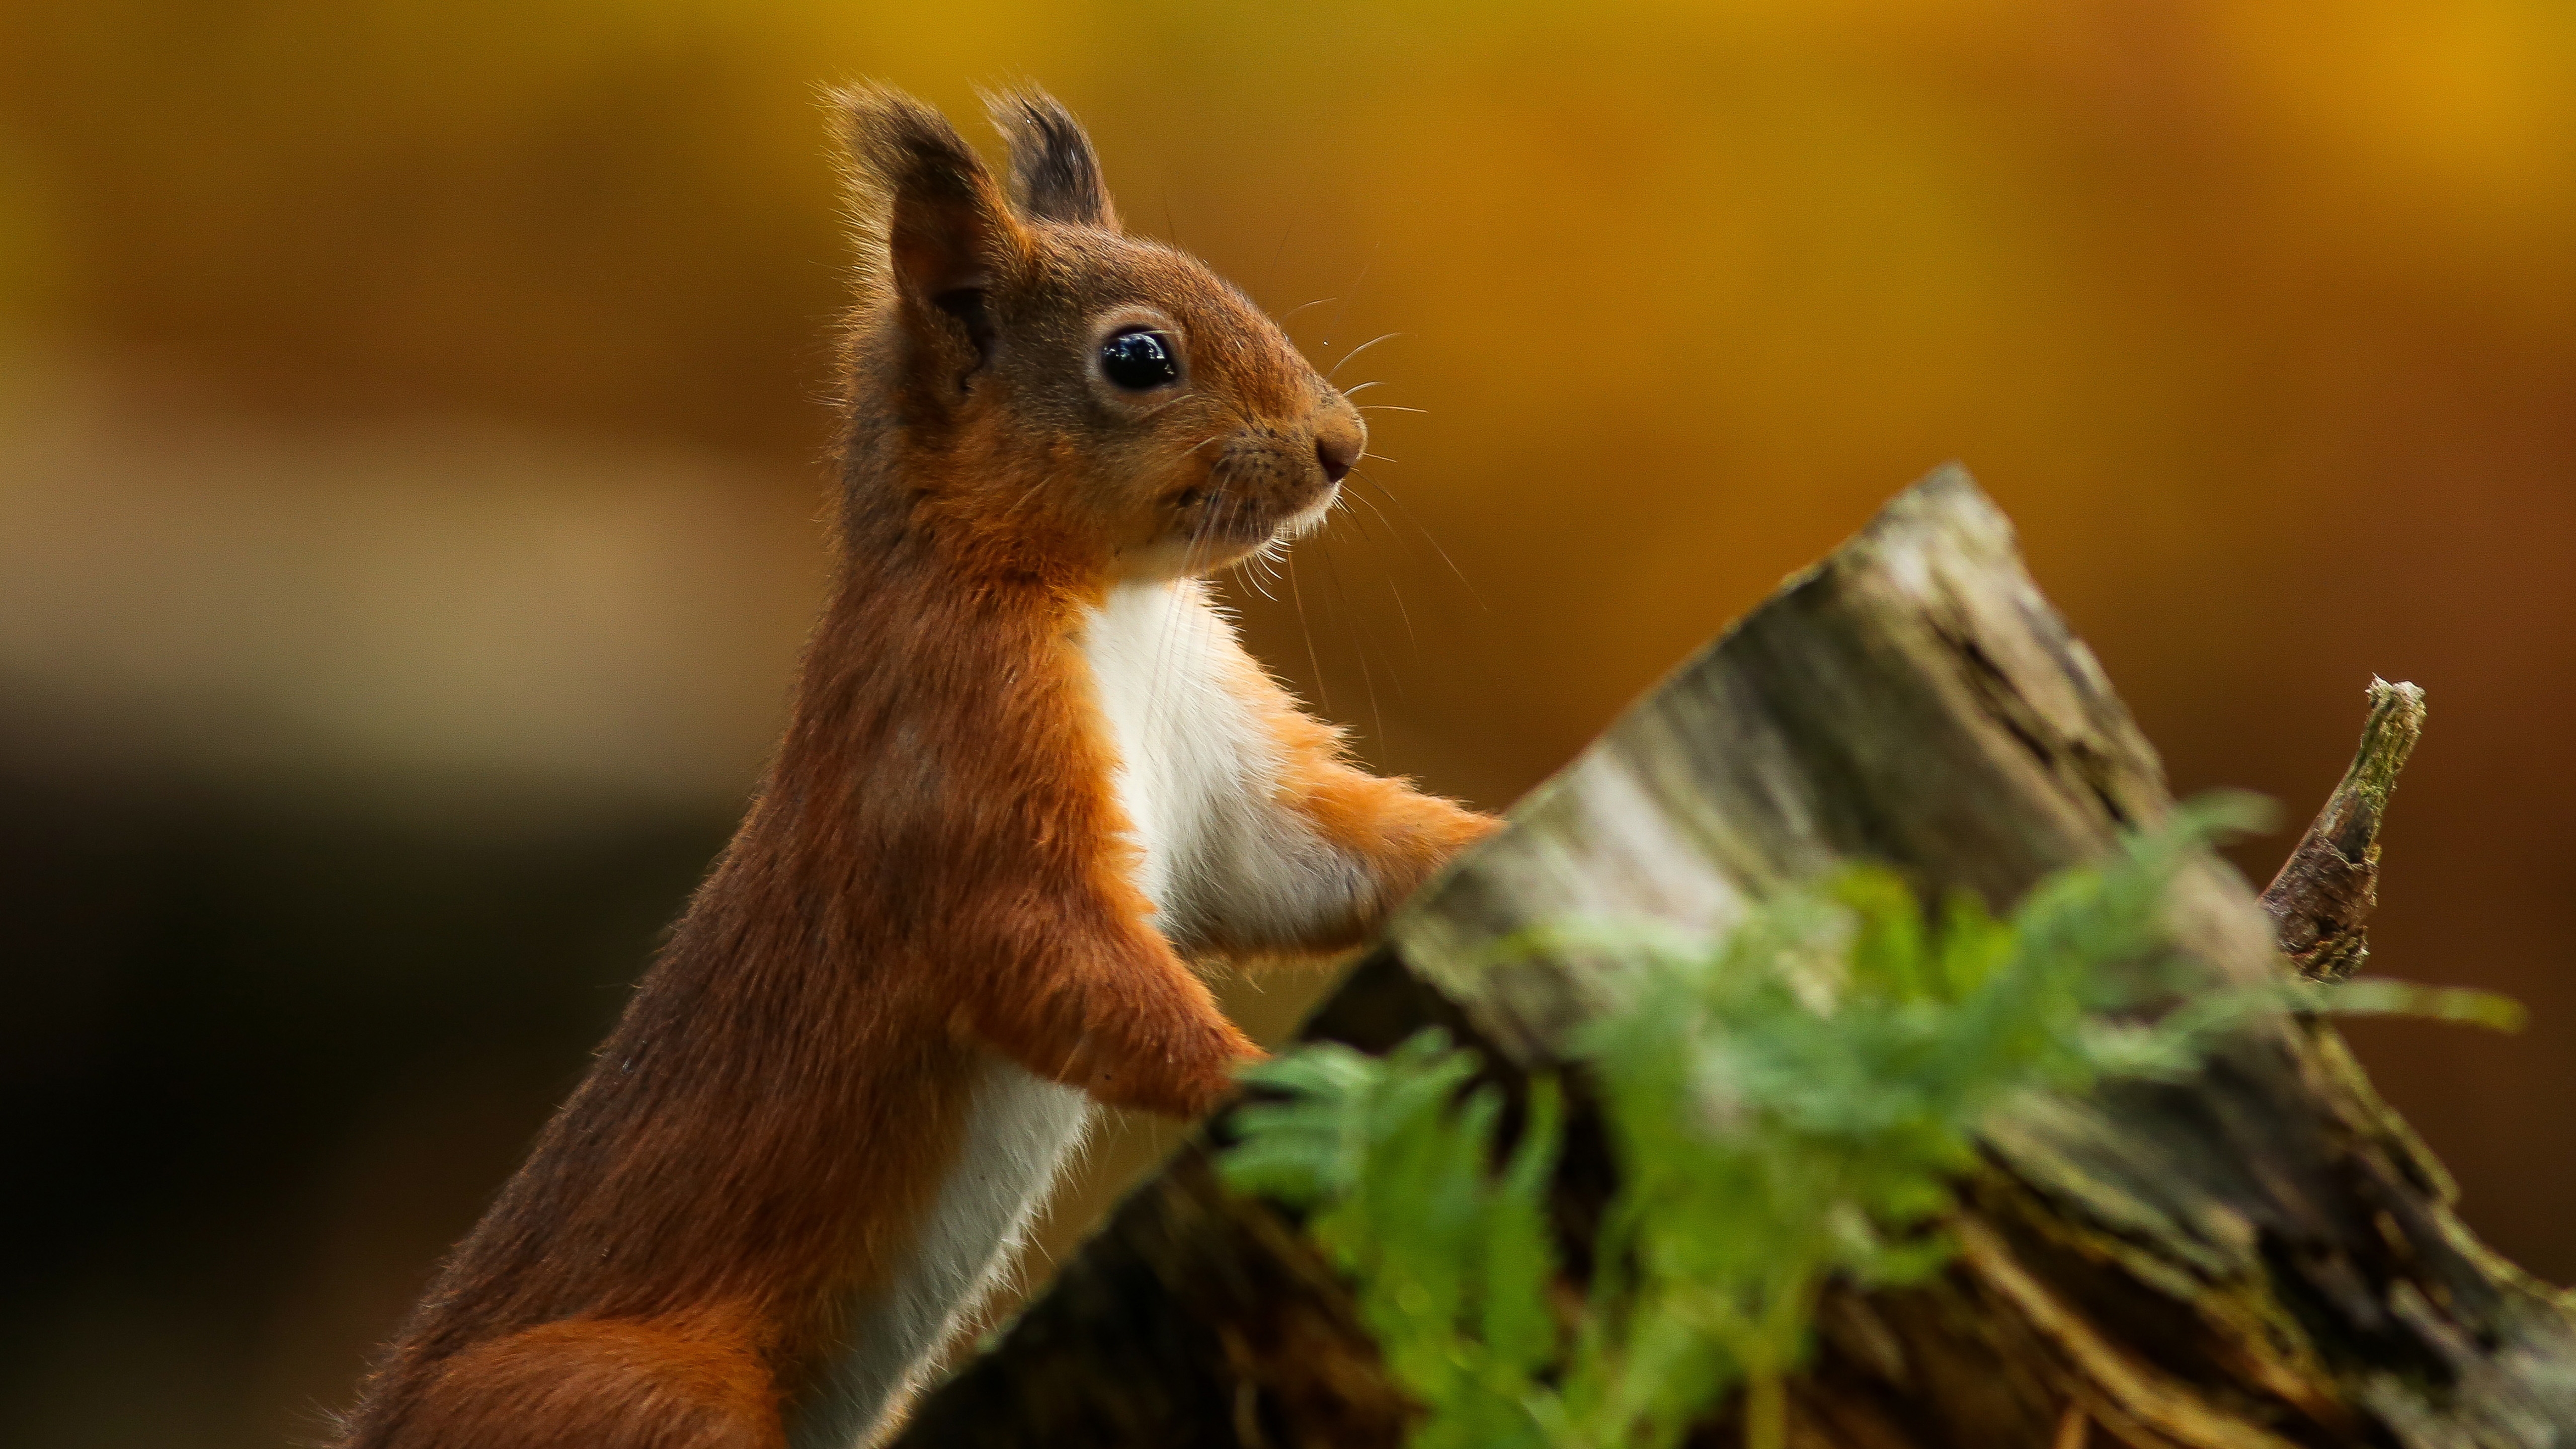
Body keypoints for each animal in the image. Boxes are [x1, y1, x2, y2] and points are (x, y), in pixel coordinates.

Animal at [337, 90, 1504, 1443]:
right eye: (1138, 359)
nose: (1341, 443)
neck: (1111, 604)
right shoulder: (953, 755)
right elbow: (1043, 946)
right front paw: (1266, 1083)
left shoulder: (1229, 780)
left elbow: (1313, 860)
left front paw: (1479, 845)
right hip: (630, 1397)